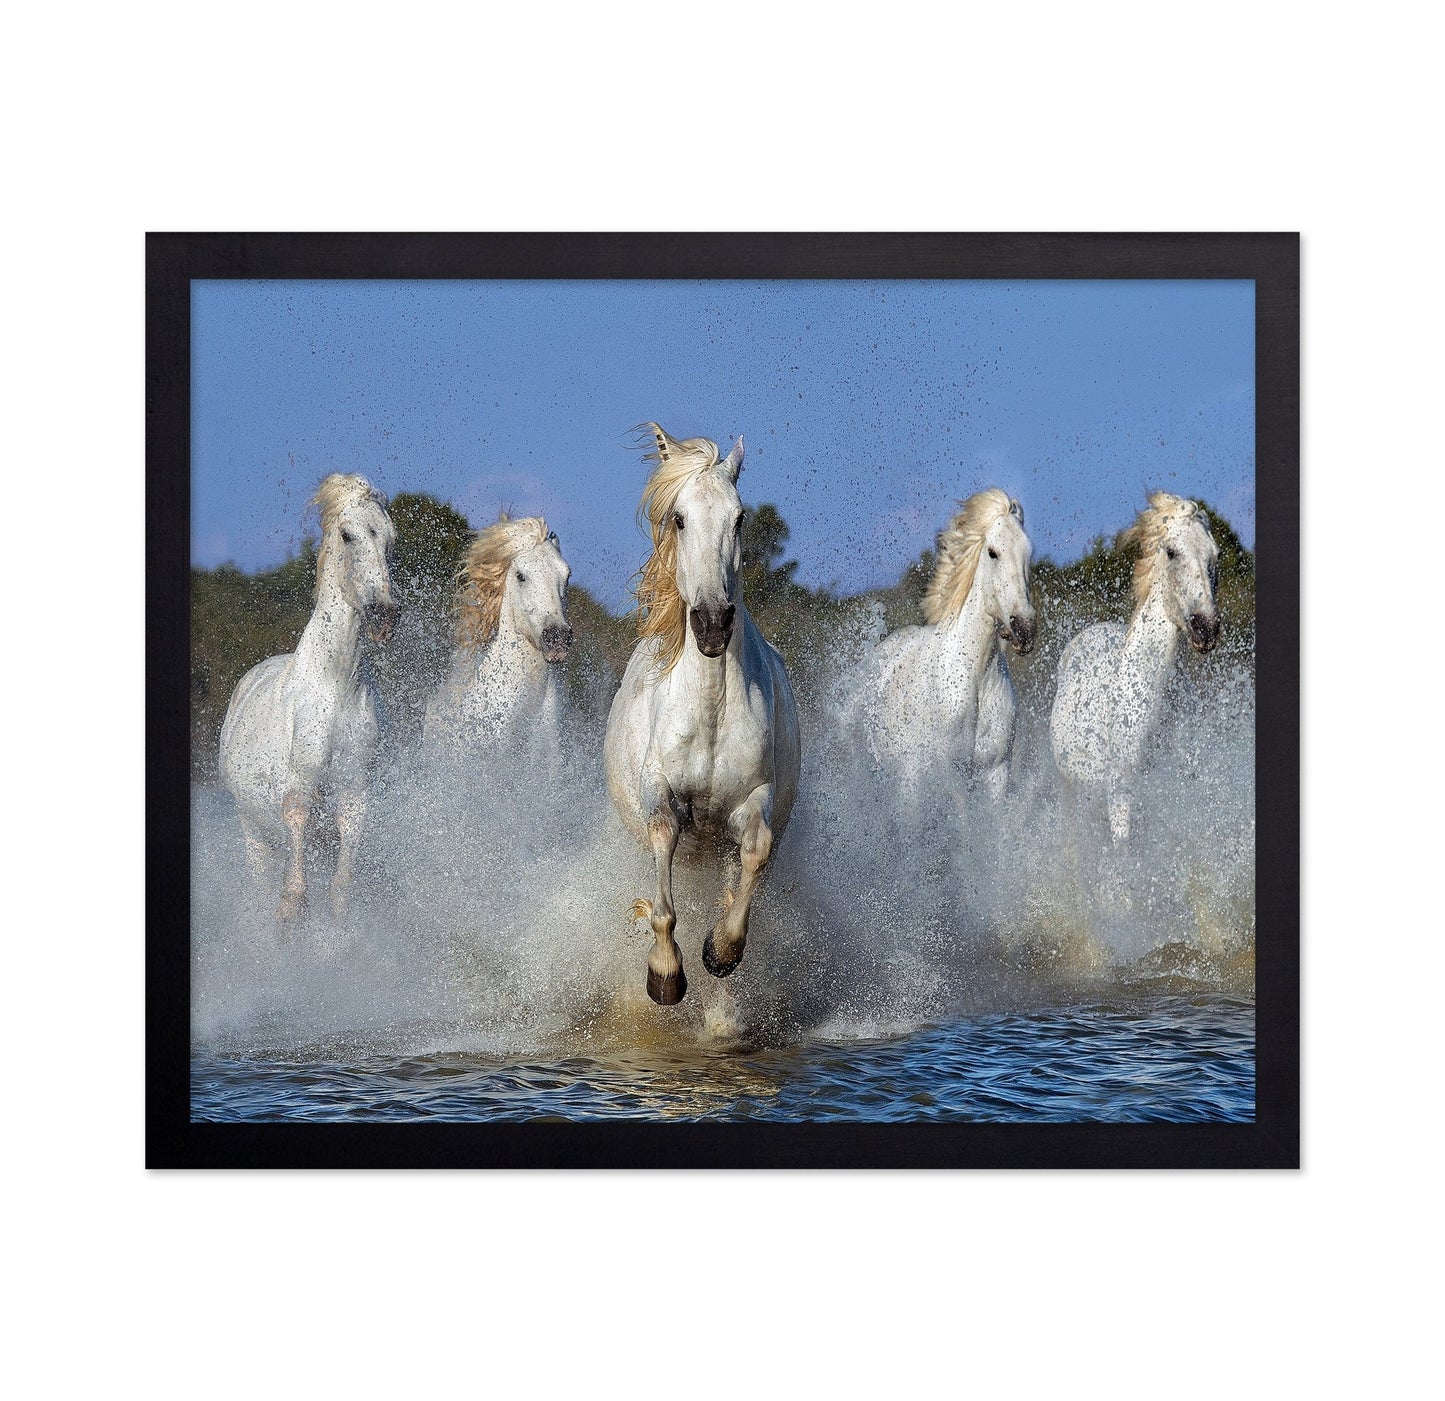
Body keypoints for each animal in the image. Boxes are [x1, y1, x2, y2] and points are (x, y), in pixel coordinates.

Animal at [218, 473, 399, 925]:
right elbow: (297, 814)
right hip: (252, 828)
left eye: (390, 539)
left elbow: (345, 863)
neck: (335, 690)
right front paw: (292, 906)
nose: (384, 616)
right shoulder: (299, 784)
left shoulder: (355, 789)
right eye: (348, 534)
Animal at [603, 423, 801, 1006]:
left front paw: (721, 950)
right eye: (679, 518)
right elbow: (664, 888)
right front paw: (665, 975)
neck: (710, 707)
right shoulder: (661, 795)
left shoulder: (752, 800)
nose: (712, 624)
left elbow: (755, 853)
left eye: (739, 517)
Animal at [846, 488, 1036, 803]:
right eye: (993, 552)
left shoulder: (995, 773)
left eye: (1028, 552)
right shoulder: (949, 778)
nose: (1024, 629)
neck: (976, 675)